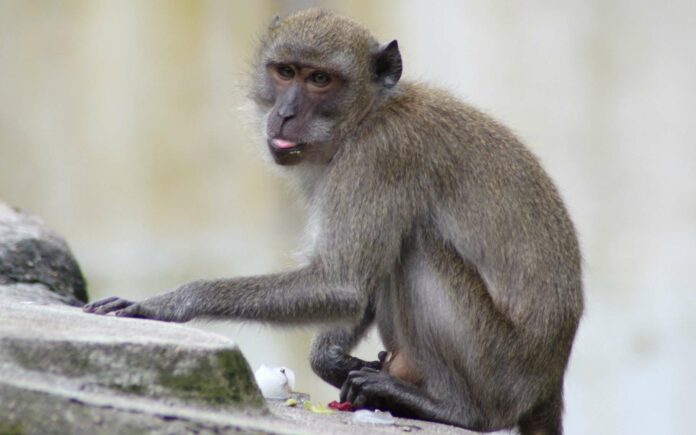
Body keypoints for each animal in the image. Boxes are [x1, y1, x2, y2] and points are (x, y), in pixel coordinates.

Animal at [84, 9, 583, 434]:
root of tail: (550, 377)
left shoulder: (380, 156)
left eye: (320, 79)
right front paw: (334, 360)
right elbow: (352, 287)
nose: (285, 113)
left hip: (498, 366)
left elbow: (341, 281)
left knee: (418, 250)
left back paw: (458, 410)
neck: (366, 116)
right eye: (285, 71)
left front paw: (172, 302)